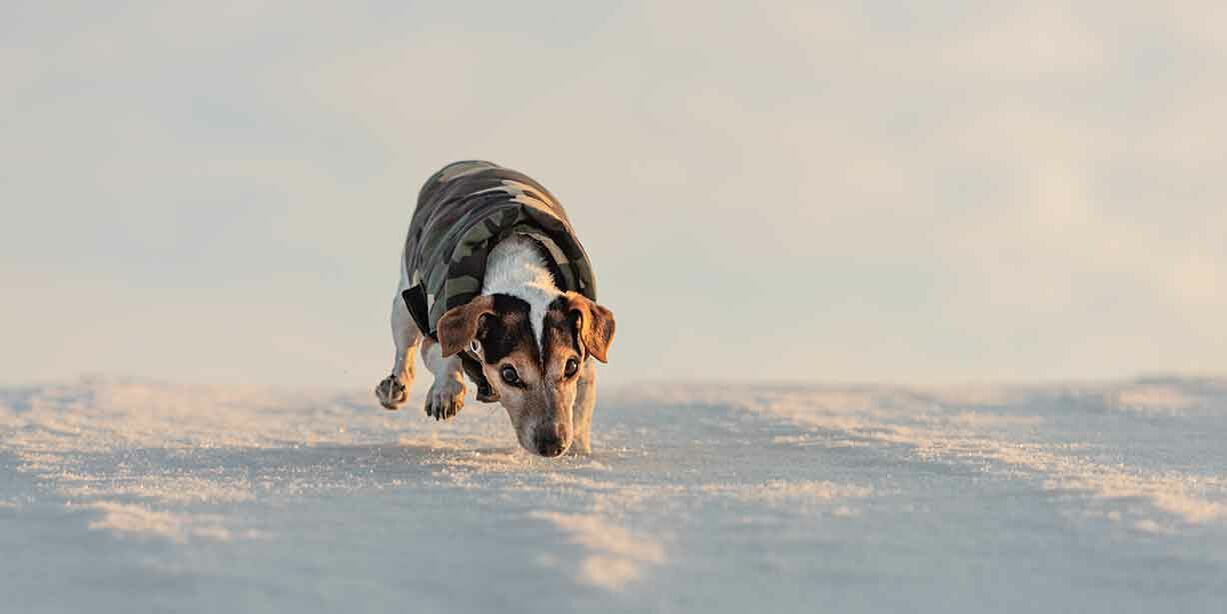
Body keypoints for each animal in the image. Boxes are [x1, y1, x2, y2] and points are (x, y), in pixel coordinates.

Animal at [370, 160, 613, 459]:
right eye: (509, 374)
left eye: (570, 366)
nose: (552, 445)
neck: (519, 268)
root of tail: (471, 162)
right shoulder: (436, 323)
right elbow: (444, 354)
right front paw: (446, 391)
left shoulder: (586, 358)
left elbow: (581, 407)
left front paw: (579, 450)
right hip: (405, 297)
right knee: (405, 350)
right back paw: (394, 387)